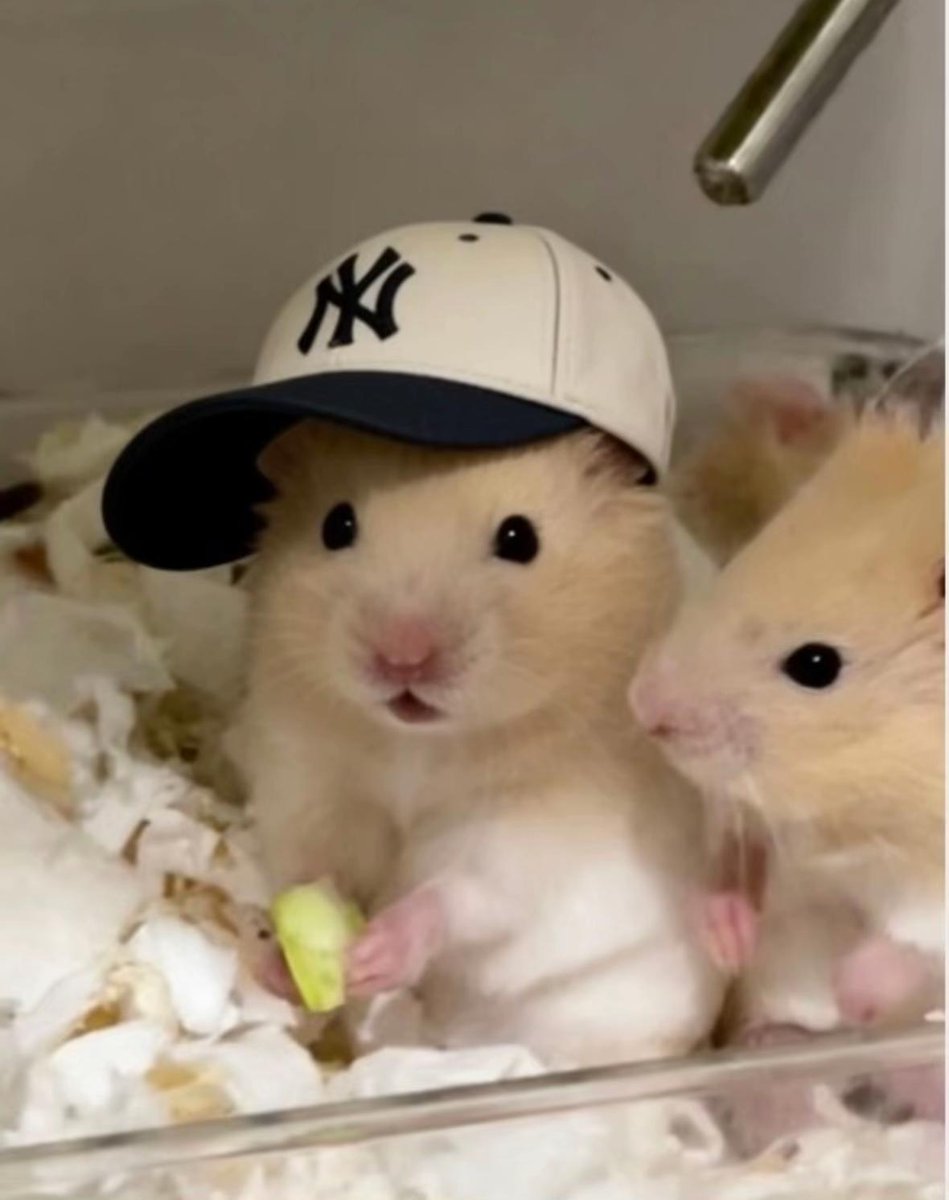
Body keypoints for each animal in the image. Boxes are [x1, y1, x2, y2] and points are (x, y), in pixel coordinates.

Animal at [232, 421, 724, 1069]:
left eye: (519, 538)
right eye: (336, 525)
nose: (403, 657)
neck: (417, 744)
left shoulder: (532, 828)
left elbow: (462, 890)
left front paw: (376, 953)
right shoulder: (311, 784)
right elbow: (314, 866)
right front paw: (284, 959)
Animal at [631, 406, 945, 1040]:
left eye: (816, 665)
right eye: (743, 555)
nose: (640, 704)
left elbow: (916, 942)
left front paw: (856, 993)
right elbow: (746, 864)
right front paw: (725, 940)